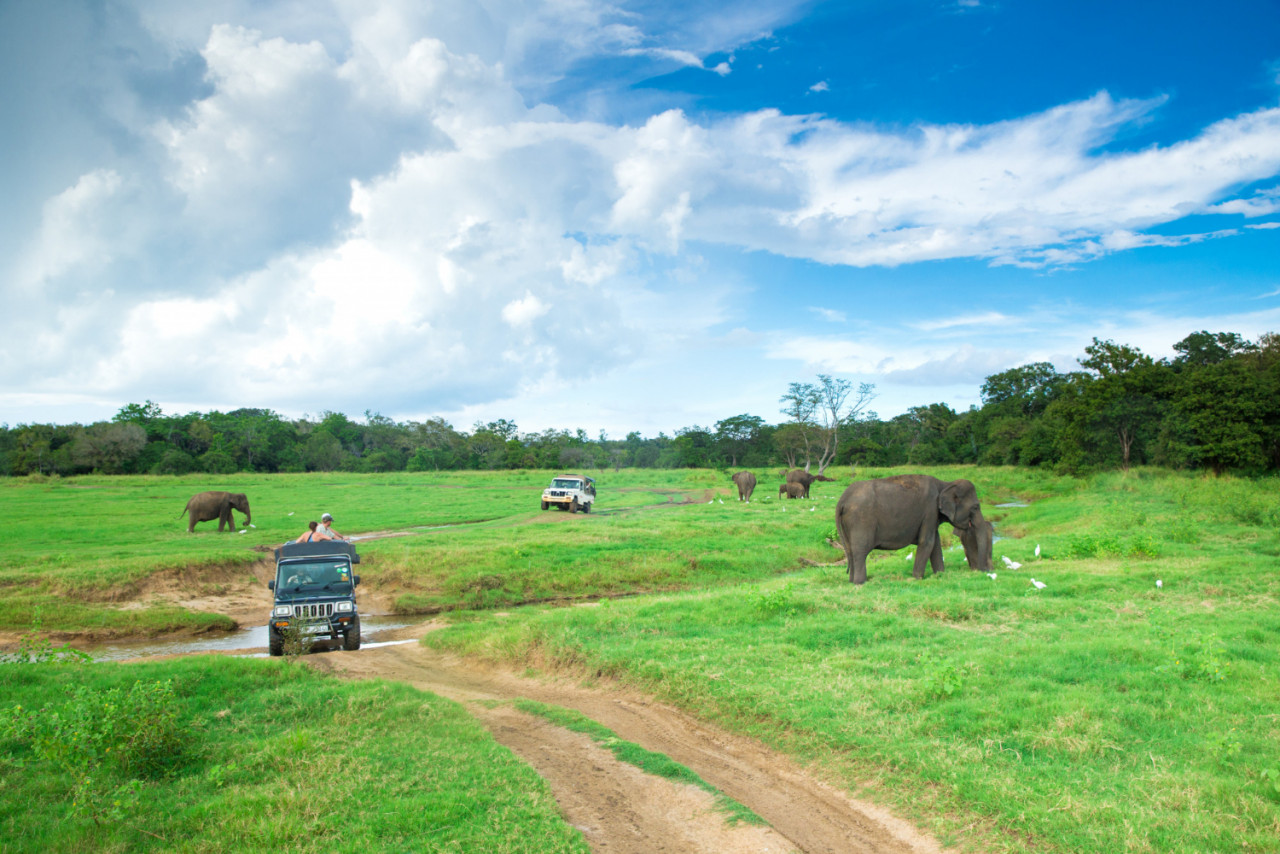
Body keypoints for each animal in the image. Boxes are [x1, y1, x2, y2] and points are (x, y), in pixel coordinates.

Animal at [834, 473, 993, 588]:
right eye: (976, 507)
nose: (984, 571)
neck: (945, 484)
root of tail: (842, 500)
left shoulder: (932, 516)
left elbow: (936, 544)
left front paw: (940, 575)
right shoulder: (930, 510)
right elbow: (927, 542)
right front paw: (917, 578)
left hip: (849, 524)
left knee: (851, 551)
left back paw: (851, 581)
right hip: (861, 520)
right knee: (860, 551)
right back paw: (860, 583)